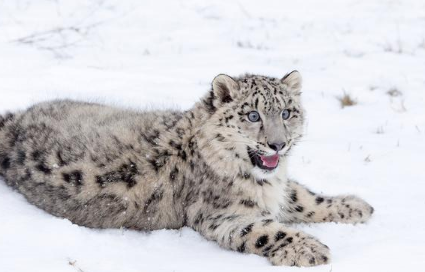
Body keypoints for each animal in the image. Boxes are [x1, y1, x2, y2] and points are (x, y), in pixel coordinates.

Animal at [0, 71, 372, 266]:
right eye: (253, 115)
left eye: (287, 112)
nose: (278, 144)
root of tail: (13, 125)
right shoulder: (222, 216)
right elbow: (267, 230)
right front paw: (310, 249)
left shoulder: (276, 188)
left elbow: (303, 197)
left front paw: (355, 206)